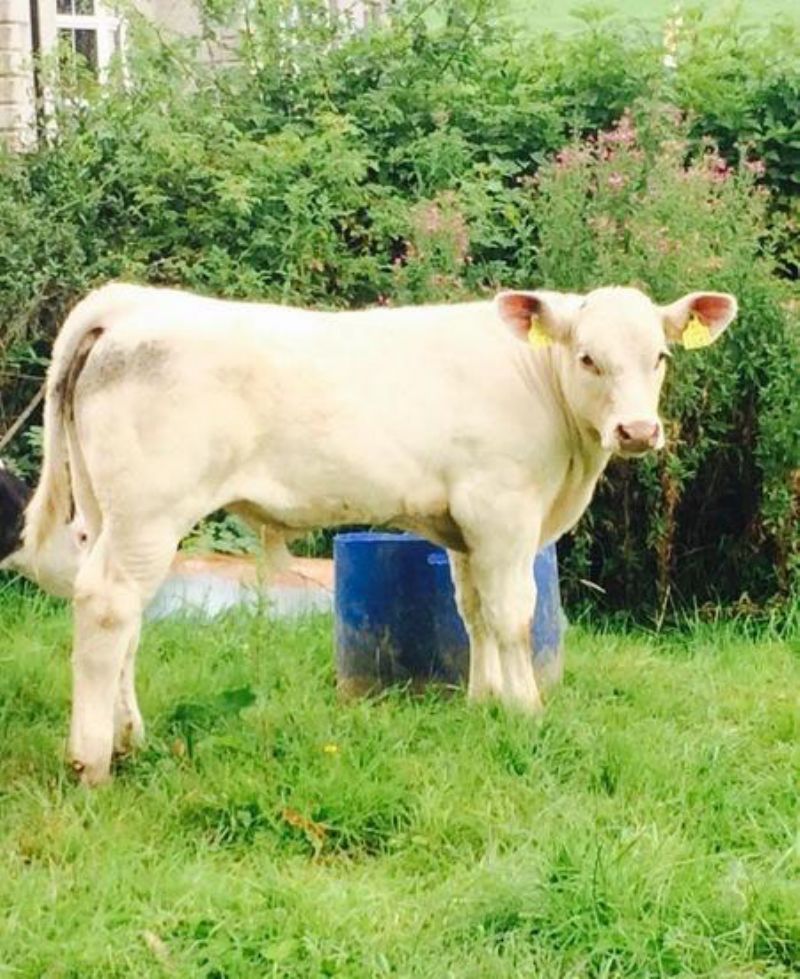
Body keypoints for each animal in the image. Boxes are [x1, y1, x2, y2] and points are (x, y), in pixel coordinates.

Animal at [3, 282, 737, 784]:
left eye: (660, 356)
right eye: (588, 358)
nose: (638, 430)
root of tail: (132, 301)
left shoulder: (462, 525)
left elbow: (471, 612)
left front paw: (484, 703)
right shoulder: (501, 507)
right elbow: (512, 614)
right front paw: (527, 710)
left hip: (111, 514)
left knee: (121, 615)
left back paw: (129, 738)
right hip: (150, 510)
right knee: (108, 606)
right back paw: (93, 760)